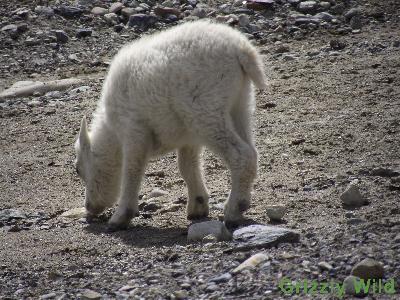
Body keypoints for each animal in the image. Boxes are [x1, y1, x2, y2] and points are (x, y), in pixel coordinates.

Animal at [75, 19, 268, 230]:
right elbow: (187, 165)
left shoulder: (134, 129)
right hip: (239, 105)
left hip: (205, 111)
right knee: (251, 150)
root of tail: (242, 50)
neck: (112, 132)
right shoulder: (188, 137)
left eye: (78, 170)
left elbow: (132, 169)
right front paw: (198, 206)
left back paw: (234, 209)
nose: (90, 207)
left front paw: (120, 217)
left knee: (241, 154)